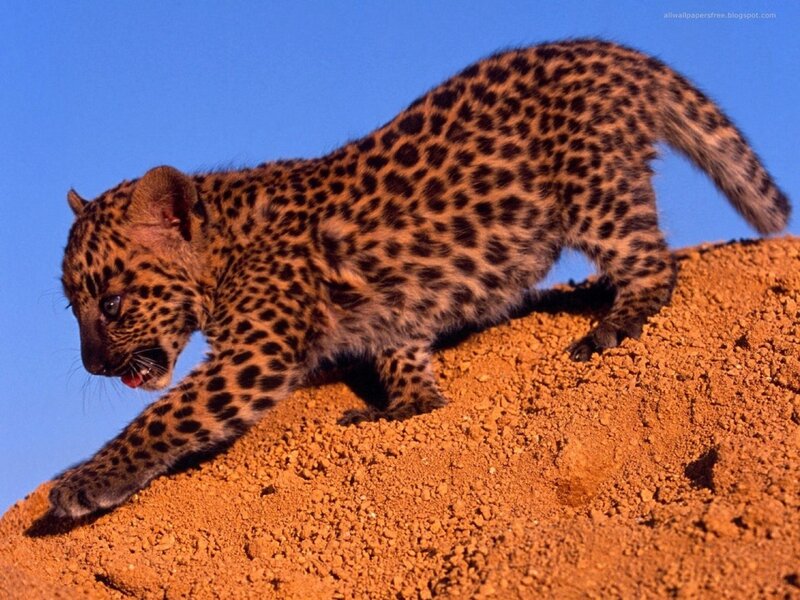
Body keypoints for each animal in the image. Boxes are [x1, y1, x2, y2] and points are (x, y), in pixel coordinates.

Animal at [50, 39, 789, 518]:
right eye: (73, 307)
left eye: (111, 303)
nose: (92, 366)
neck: (222, 246)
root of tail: (613, 51)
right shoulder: (390, 317)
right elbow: (401, 358)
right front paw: (407, 405)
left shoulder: (253, 356)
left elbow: (164, 416)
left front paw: (84, 482)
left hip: (594, 188)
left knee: (652, 259)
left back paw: (617, 322)